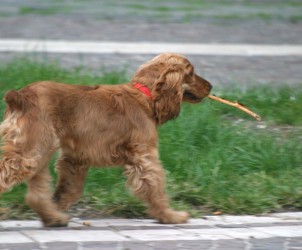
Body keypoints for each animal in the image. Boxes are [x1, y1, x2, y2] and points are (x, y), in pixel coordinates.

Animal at [0, 53, 211, 226]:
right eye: (191, 72)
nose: (211, 86)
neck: (144, 95)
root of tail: (20, 96)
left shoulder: (75, 158)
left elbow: (68, 190)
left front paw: (57, 209)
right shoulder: (145, 156)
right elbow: (155, 187)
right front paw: (170, 216)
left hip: (39, 152)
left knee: (36, 194)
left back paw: (54, 219)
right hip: (31, 151)